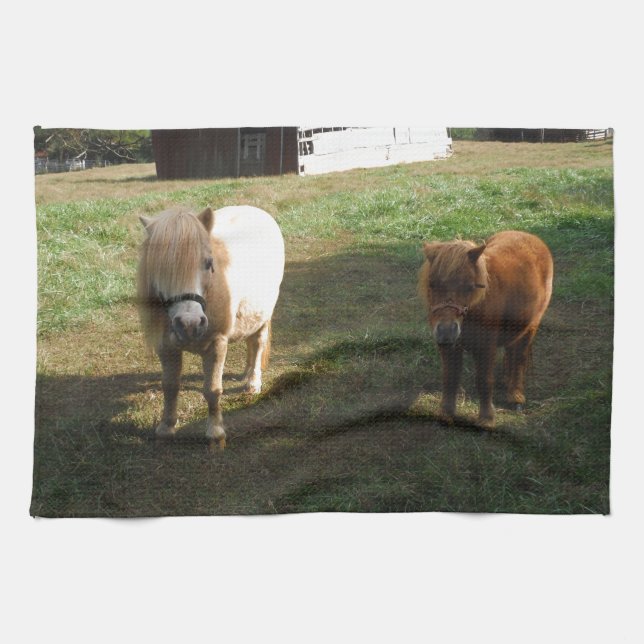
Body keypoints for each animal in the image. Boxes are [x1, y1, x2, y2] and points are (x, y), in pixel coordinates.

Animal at [137, 205, 285, 447]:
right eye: (159, 269)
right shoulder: (166, 347)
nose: (189, 324)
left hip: (264, 316)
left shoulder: (217, 345)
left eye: (208, 263)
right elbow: (170, 386)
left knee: (258, 343)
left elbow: (212, 390)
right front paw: (166, 428)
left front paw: (216, 433)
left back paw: (253, 382)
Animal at [418, 230, 553, 429]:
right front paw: (446, 413)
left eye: (469, 286)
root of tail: (529, 236)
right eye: (432, 284)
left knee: (519, 356)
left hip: (531, 327)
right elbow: (450, 376)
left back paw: (515, 395)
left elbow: (484, 380)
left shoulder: (486, 347)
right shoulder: (449, 347)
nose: (446, 331)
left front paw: (486, 418)